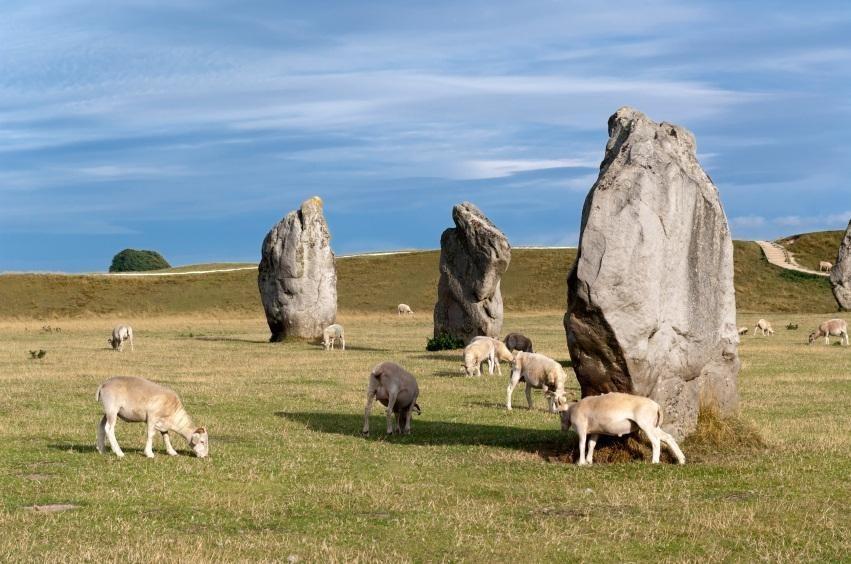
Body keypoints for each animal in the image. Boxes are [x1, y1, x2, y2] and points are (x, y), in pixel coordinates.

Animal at [556, 392, 688, 468]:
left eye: (560, 413)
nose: (562, 429)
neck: (573, 410)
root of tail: (657, 406)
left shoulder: (581, 428)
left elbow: (582, 444)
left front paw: (581, 462)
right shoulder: (595, 431)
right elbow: (591, 444)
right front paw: (589, 461)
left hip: (646, 425)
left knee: (656, 441)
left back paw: (654, 461)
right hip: (654, 425)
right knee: (668, 437)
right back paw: (681, 459)